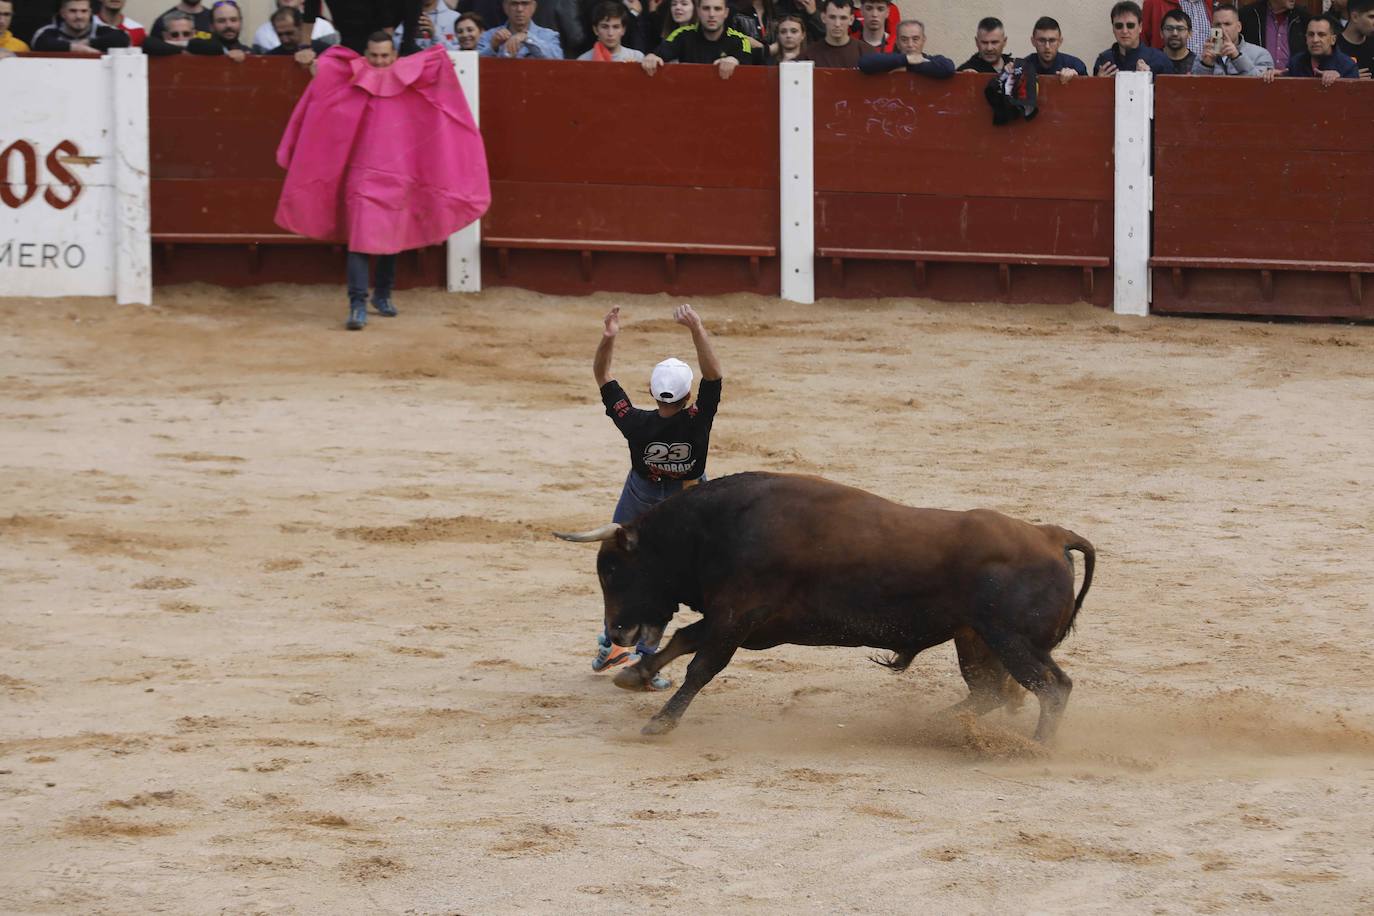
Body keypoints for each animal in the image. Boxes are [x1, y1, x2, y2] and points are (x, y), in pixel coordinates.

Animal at [552, 477, 1099, 741]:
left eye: (613, 569)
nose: (616, 634)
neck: (717, 527)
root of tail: (1051, 535)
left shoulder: (738, 617)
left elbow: (702, 665)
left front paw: (660, 723)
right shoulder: (741, 618)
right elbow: (686, 639)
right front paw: (635, 675)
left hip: (1013, 641)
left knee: (1052, 687)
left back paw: (1037, 747)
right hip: (977, 639)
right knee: (989, 691)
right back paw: (936, 726)